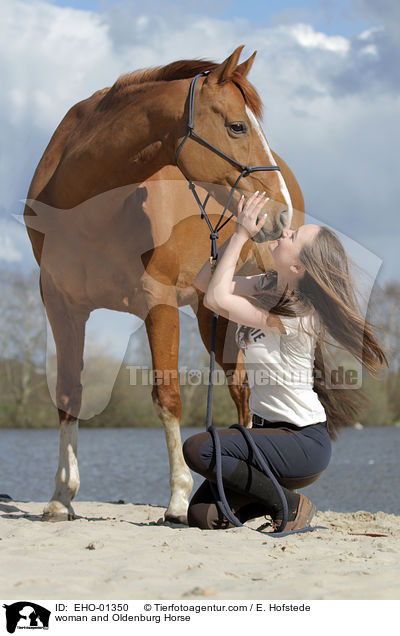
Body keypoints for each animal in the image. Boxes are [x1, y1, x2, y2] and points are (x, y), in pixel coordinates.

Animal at [24, 44, 304, 520]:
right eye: (237, 125)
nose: (279, 212)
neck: (87, 208)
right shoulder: (62, 306)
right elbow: (69, 395)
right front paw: (61, 496)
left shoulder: (159, 302)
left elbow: (167, 395)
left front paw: (176, 497)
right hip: (211, 310)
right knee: (241, 387)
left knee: (246, 390)